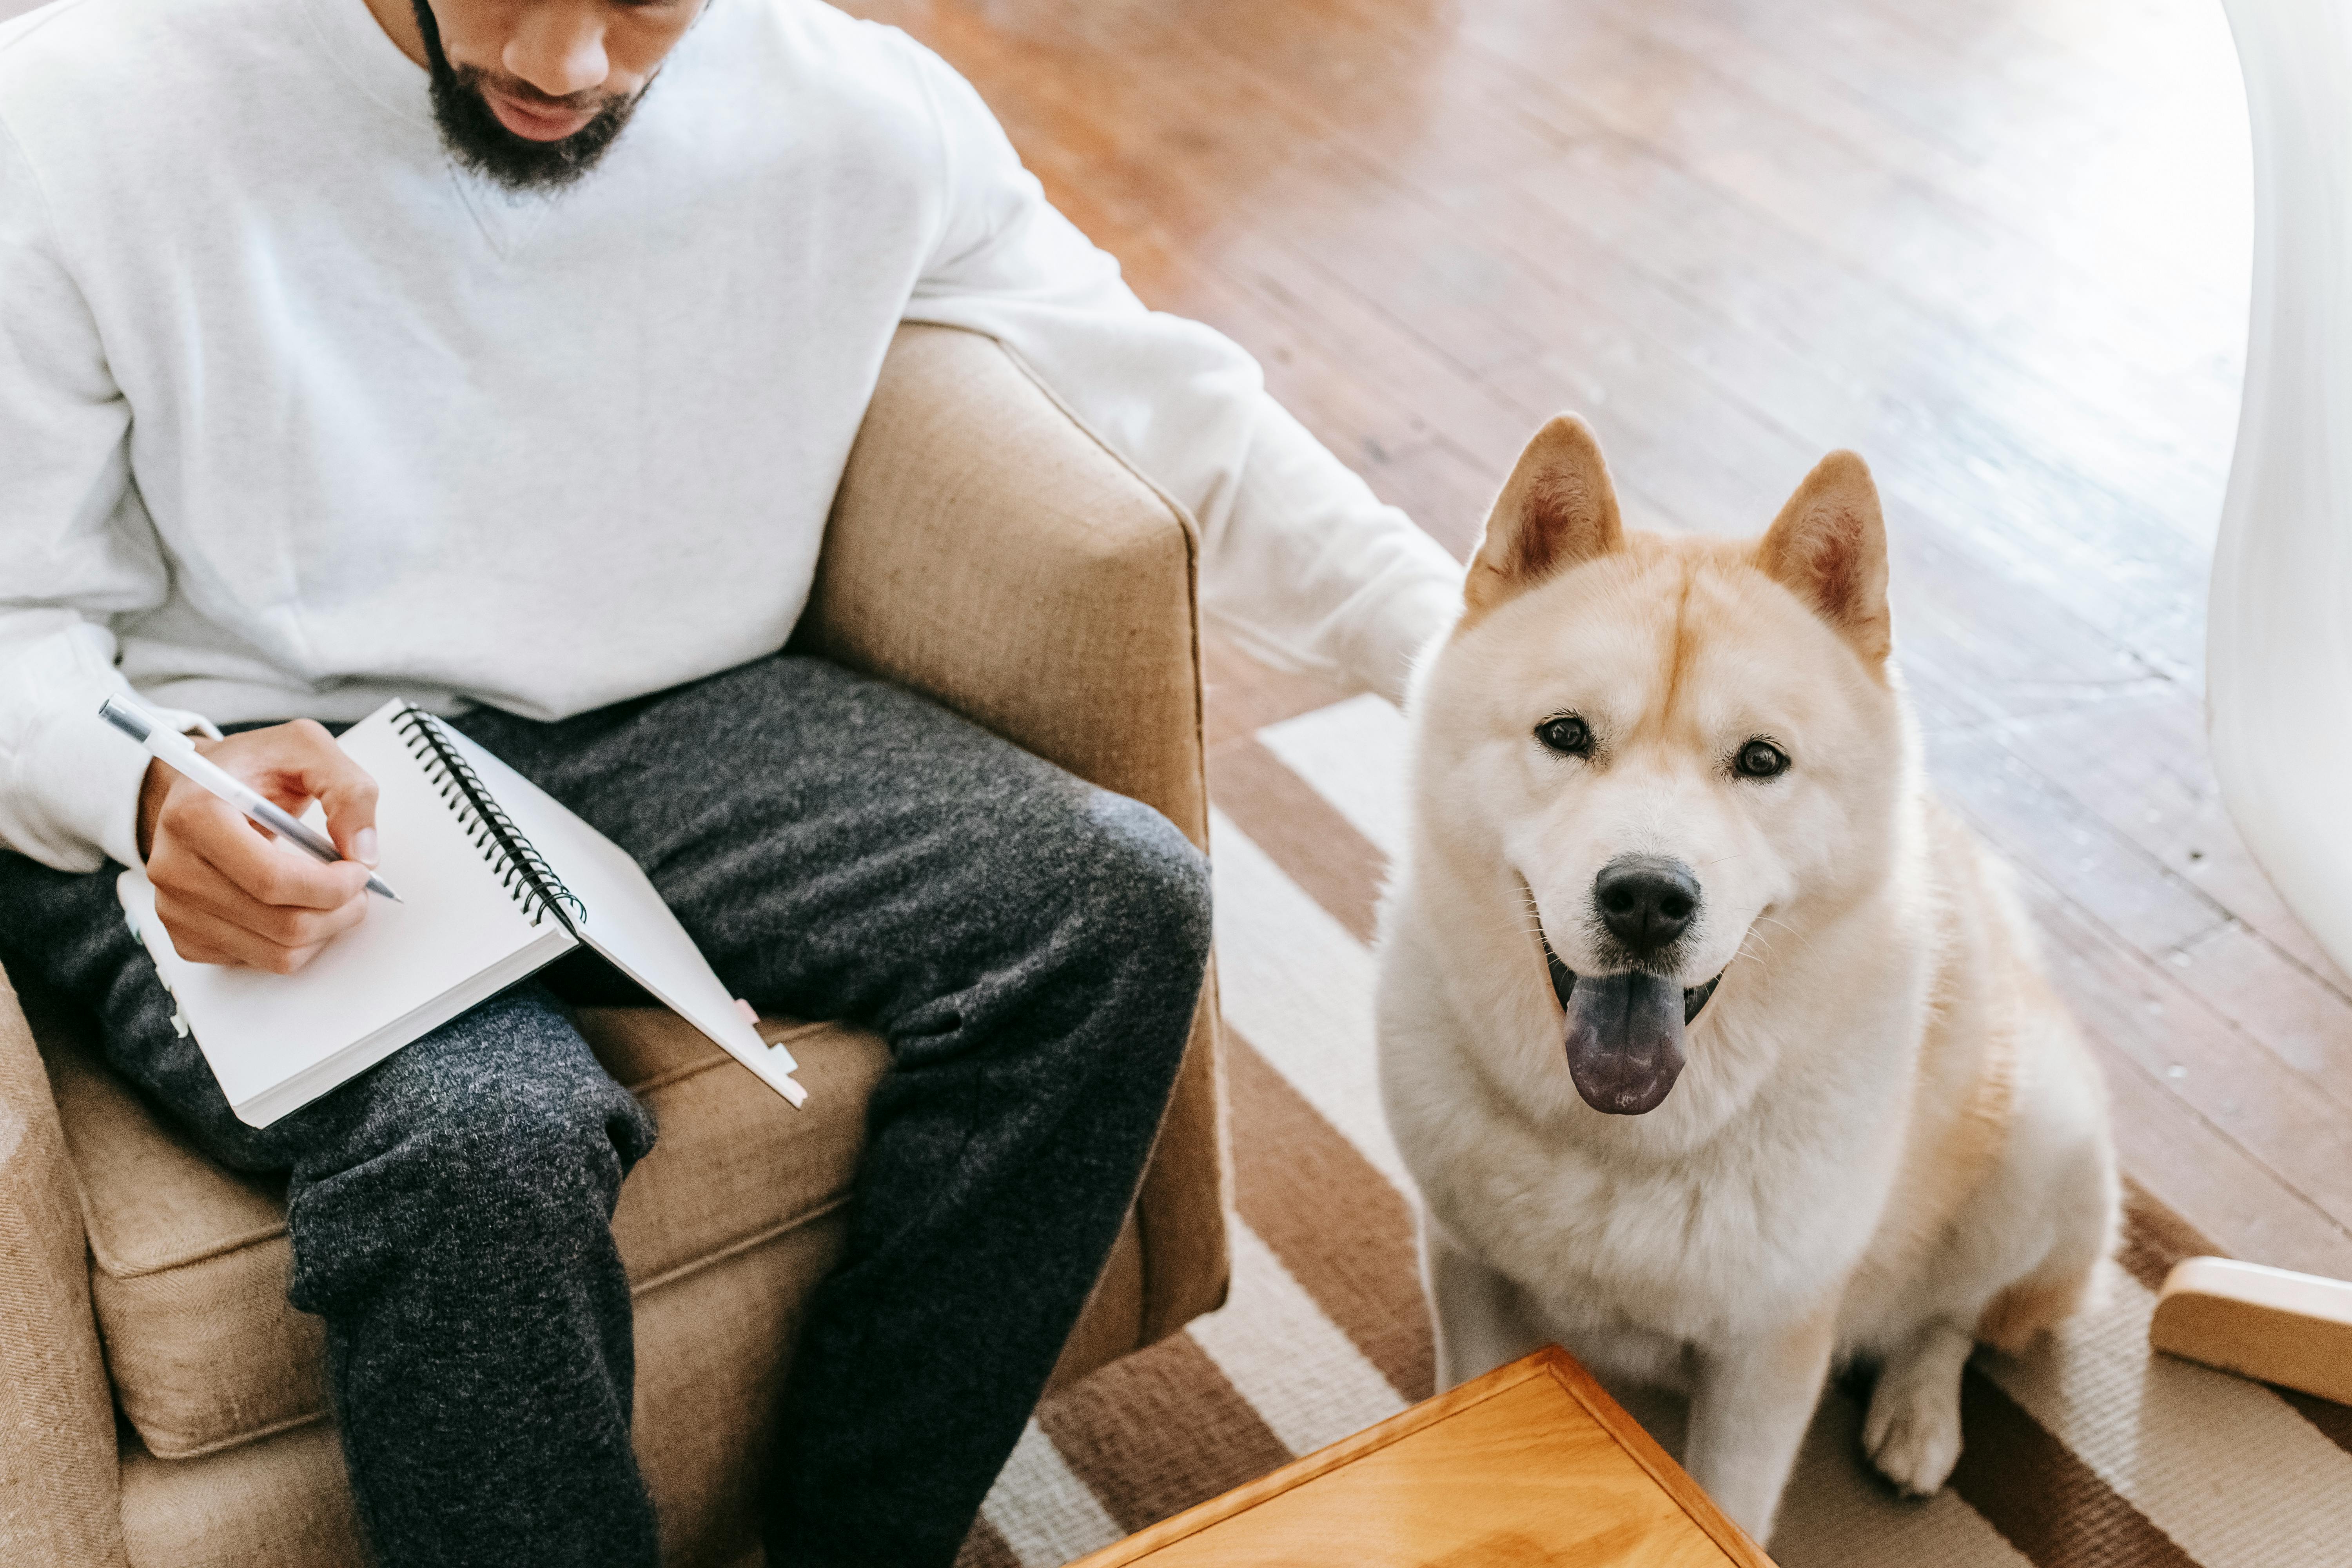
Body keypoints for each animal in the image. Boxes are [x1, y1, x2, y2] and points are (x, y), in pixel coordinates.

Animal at [1374, 416, 2126, 1542]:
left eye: (1761, 760)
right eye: (1565, 735)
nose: (1647, 896)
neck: (1623, 1142)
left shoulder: (1769, 1351)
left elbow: (1727, 1501)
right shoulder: (1468, 1270)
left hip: (2040, 1141)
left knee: (1951, 1317)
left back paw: (1917, 1417)